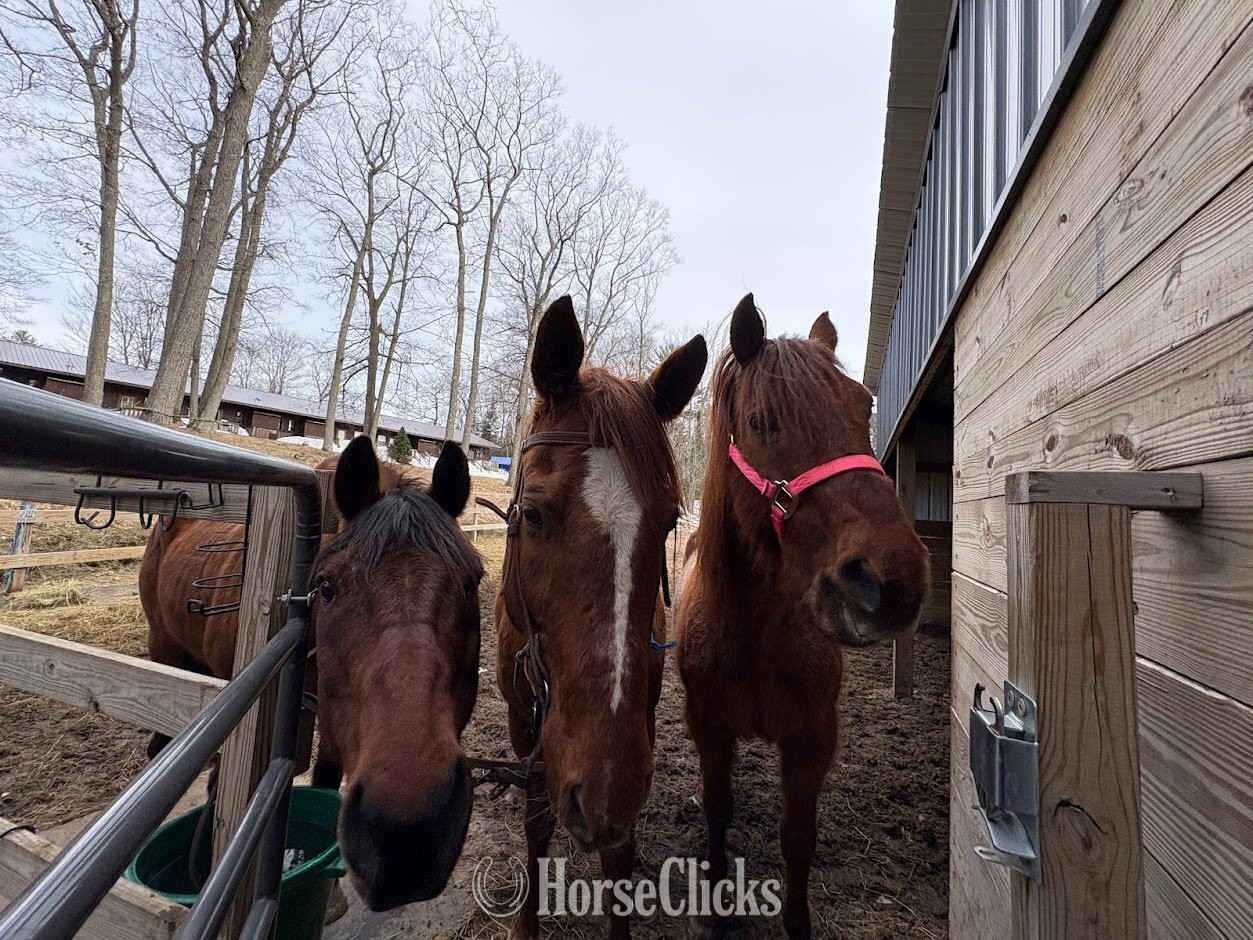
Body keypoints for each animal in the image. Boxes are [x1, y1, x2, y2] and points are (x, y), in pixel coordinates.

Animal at [139, 436, 484, 910]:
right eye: (326, 587)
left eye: (473, 582)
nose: (407, 830)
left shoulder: (337, 725)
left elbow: (325, 780)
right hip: (164, 649)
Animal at [493, 295, 707, 940]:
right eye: (533, 513)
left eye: (669, 520)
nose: (603, 797)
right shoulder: (524, 720)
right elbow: (537, 817)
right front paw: (526, 924)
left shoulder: (638, 723)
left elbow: (618, 853)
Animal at [675, 294, 930, 939]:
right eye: (762, 421)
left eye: (863, 407)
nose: (891, 582)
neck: (756, 633)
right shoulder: (709, 727)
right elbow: (718, 812)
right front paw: (716, 902)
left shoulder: (813, 736)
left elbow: (798, 839)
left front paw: (796, 922)